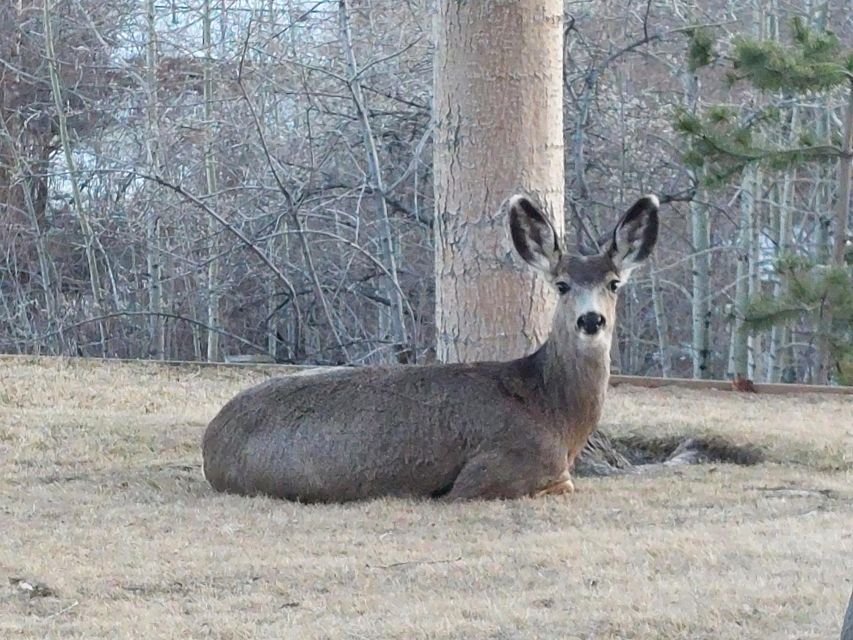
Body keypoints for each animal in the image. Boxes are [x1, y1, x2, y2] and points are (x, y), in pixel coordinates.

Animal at [201, 192, 660, 502]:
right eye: (562, 284)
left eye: (613, 283)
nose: (591, 320)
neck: (553, 411)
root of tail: (210, 442)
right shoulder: (496, 468)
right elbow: (563, 484)